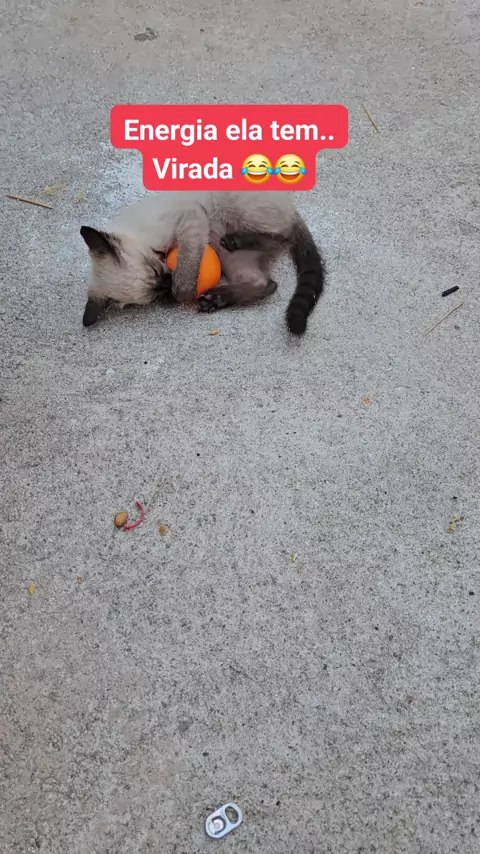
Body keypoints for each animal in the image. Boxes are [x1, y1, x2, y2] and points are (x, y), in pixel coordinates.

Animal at [80, 190, 326, 335]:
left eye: (155, 270)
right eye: (153, 295)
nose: (166, 283)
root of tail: (289, 203)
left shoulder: (190, 220)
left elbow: (188, 259)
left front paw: (180, 290)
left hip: (235, 212)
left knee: (284, 236)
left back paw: (236, 240)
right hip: (227, 255)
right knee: (266, 284)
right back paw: (214, 299)